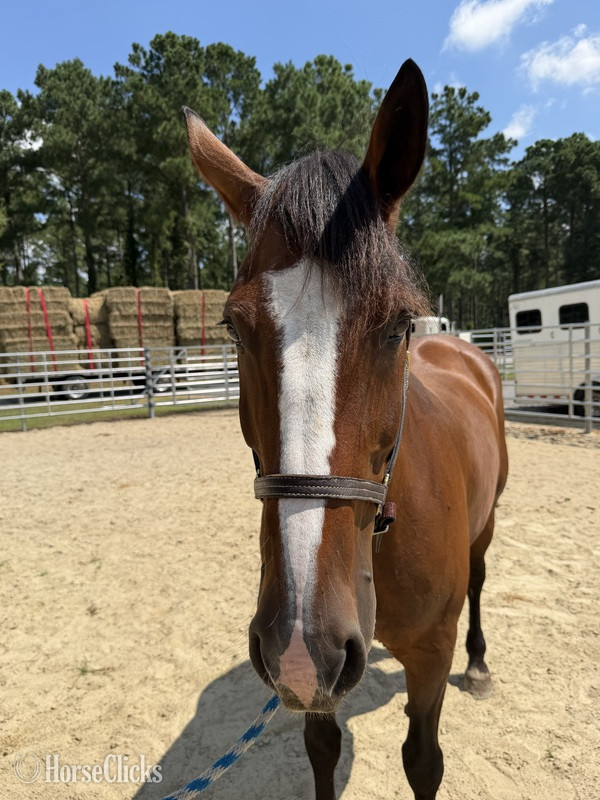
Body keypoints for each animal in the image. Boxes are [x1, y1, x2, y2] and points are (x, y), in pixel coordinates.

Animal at [184, 58, 508, 800]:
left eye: (397, 325)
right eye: (233, 327)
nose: (303, 643)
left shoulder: (428, 654)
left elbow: (423, 760)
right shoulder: (317, 684)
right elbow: (322, 749)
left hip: (488, 523)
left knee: (481, 577)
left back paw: (479, 664)